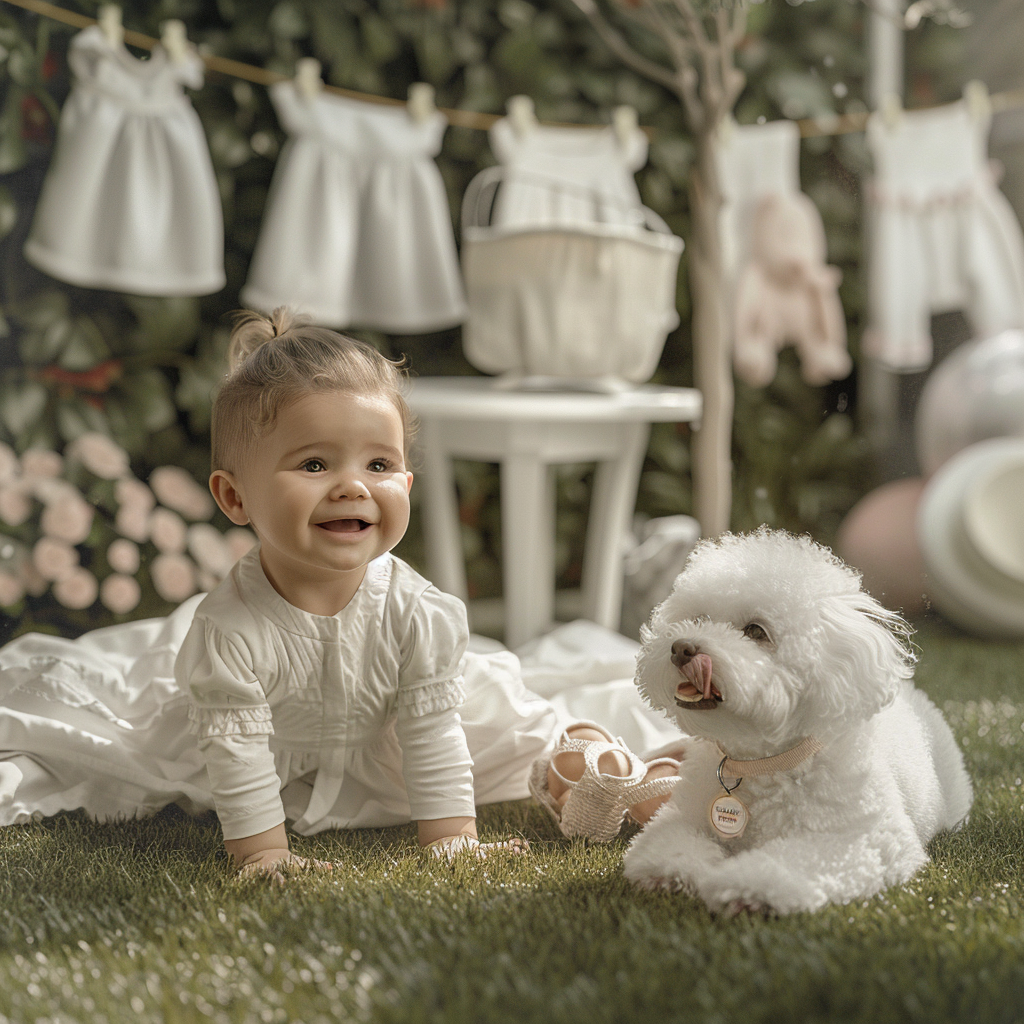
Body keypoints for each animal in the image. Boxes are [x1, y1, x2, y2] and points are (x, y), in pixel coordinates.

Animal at [618, 528, 970, 913]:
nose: (681, 649)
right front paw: (680, 874)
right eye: (698, 619)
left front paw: (747, 886)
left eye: (756, 631)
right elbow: (666, 847)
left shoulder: (867, 839)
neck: (761, 764)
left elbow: (790, 862)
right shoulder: (680, 818)